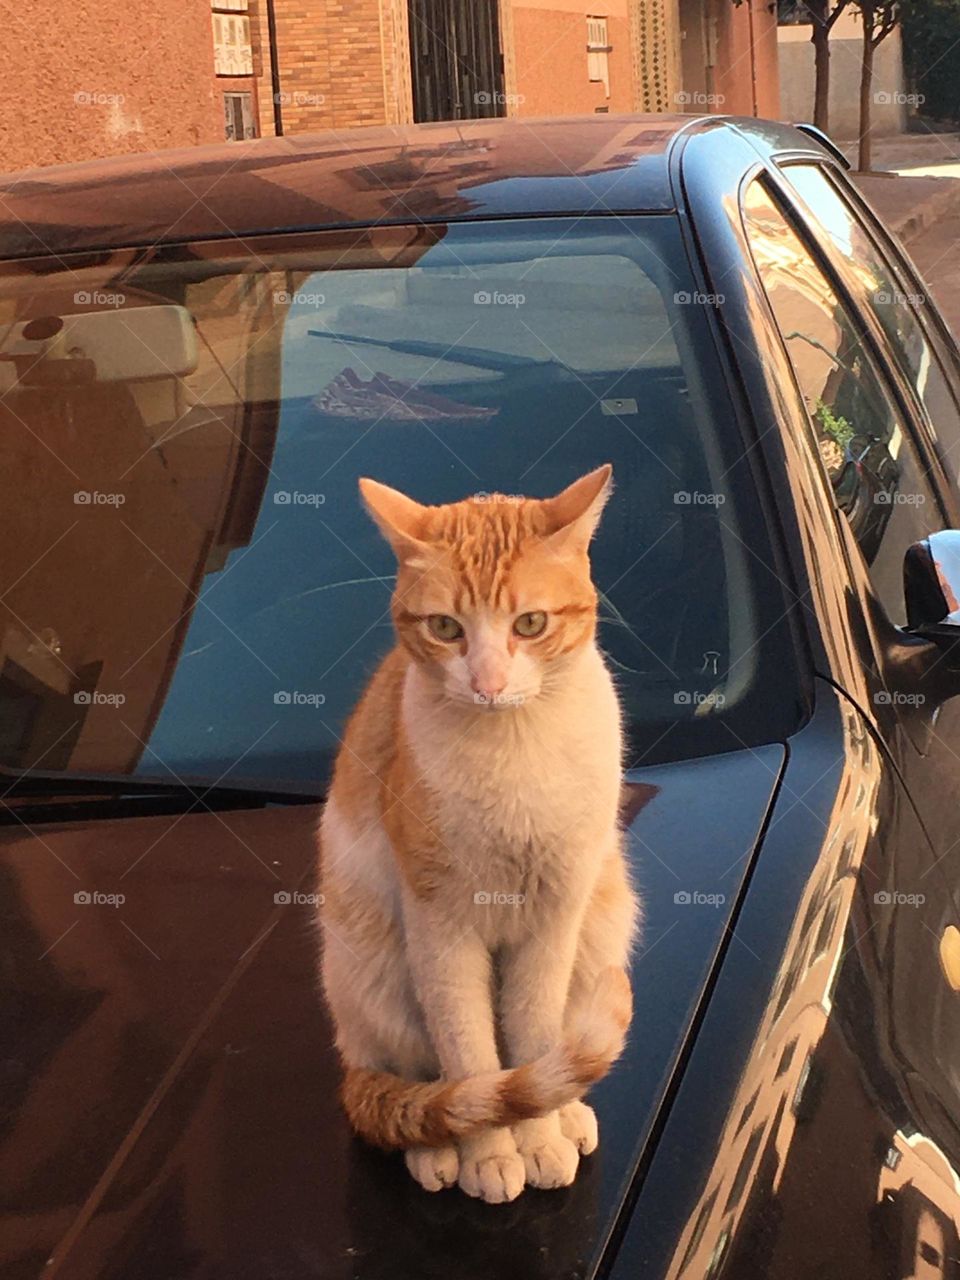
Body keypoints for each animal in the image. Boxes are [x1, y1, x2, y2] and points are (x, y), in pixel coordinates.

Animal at [320, 468, 642, 1198]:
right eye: (445, 627)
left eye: (531, 623)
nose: (489, 684)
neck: (512, 753)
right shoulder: (441, 930)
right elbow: (471, 1057)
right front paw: (490, 1153)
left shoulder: (554, 920)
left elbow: (533, 1039)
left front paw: (539, 1136)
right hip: (375, 972)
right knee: (415, 1082)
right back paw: (435, 1147)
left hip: (601, 926)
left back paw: (568, 1115)